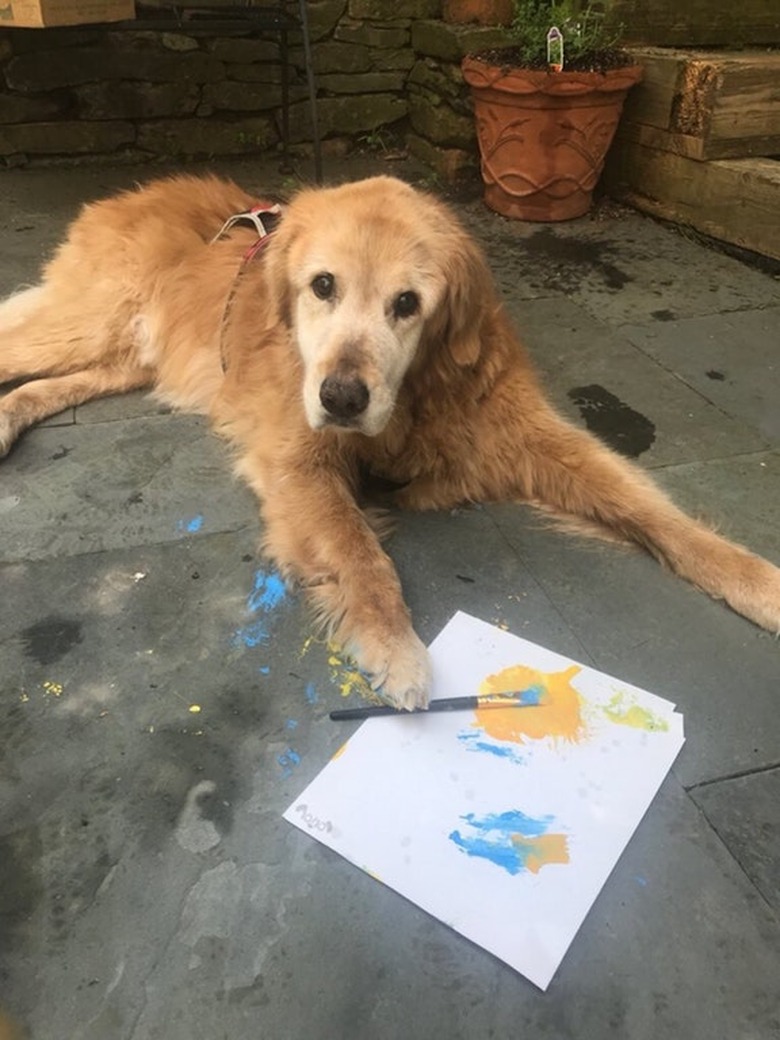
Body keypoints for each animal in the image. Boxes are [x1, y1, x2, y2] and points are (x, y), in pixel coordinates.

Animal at [0, 174, 777, 707]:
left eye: (408, 303)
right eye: (322, 286)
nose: (341, 398)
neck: (412, 401)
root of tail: (130, 194)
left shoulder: (522, 432)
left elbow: (648, 508)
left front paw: (754, 580)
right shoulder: (299, 460)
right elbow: (357, 551)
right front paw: (395, 648)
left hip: (127, 356)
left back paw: (11, 416)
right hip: (88, 323)